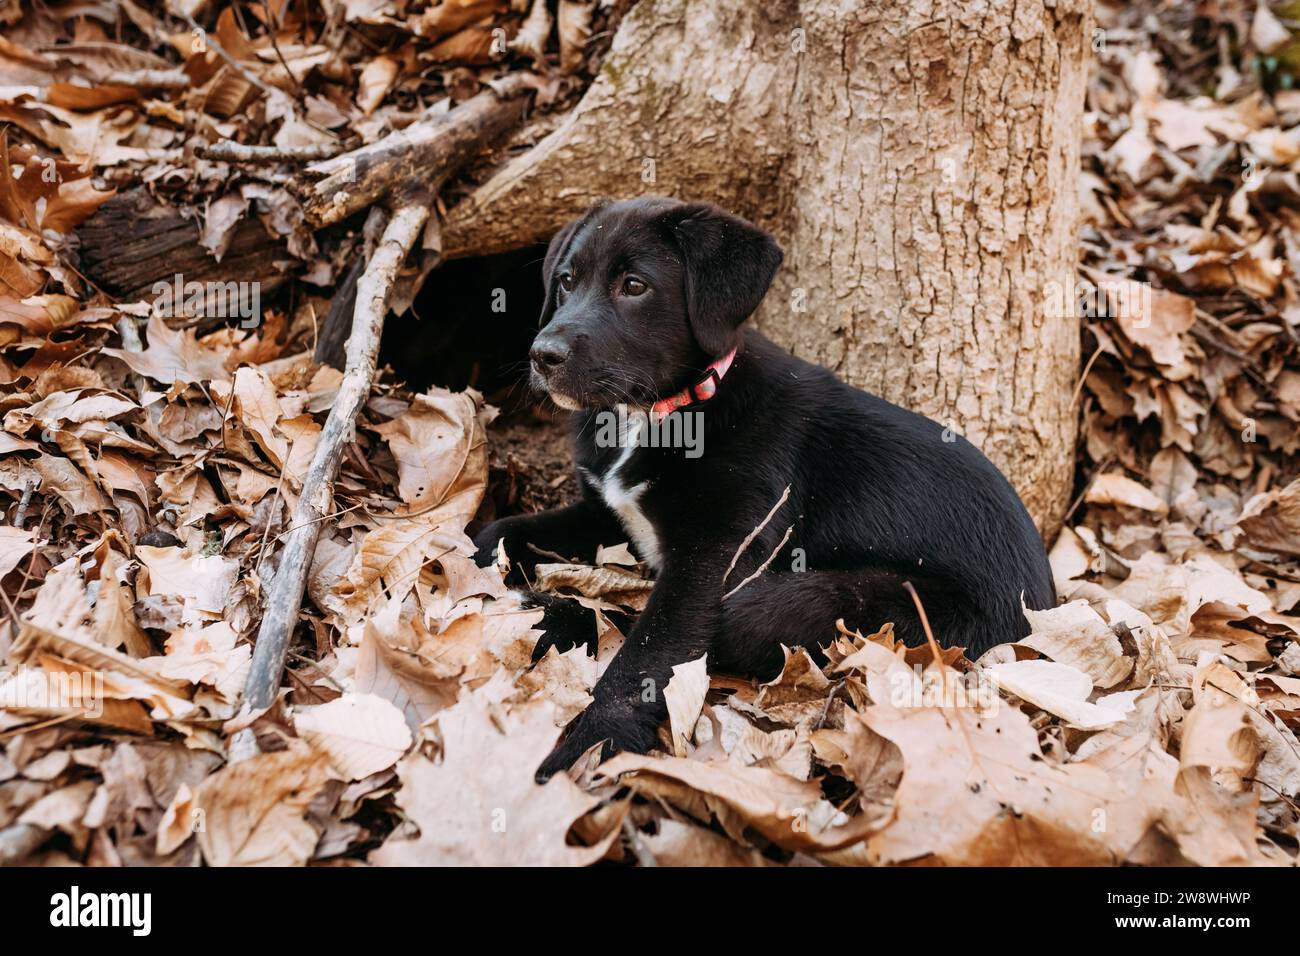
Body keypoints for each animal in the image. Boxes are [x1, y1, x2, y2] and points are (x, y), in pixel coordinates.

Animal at [478, 195, 1055, 780]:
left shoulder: (715, 554)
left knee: (700, 629)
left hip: (825, 604)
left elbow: (651, 648)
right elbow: (501, 530)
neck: (660, 413)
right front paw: (472, 571)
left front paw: (588, 744)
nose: (542, 355)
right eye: (566, 281)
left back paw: (551, 613)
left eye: (634, 286)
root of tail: (1042, 608)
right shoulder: (605, 512)